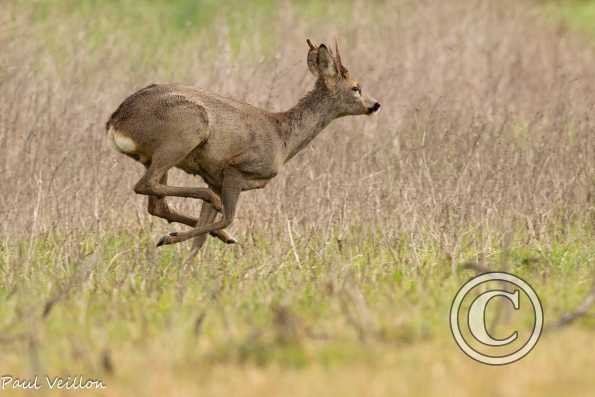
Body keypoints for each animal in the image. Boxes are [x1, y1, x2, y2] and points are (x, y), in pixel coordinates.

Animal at [105, 38, 380, 252]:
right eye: (356, 88)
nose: (375, 104)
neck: (283, 139)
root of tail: (116, 122)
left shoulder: (213, 177)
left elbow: (201, 237)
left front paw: (187, 265)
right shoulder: (235, 169)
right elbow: (228, 218)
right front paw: (171, 238)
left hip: (155, 156)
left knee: (157, 204)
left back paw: (218, 235)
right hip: (183, 133)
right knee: (147, 185)